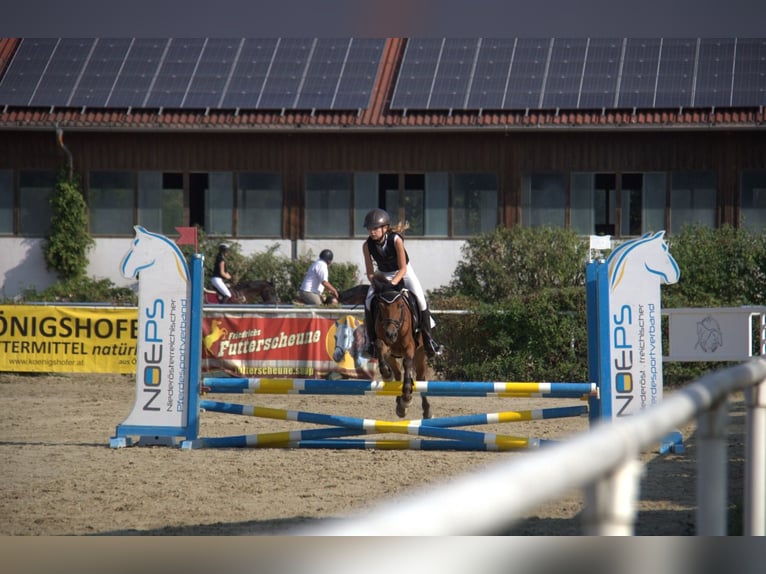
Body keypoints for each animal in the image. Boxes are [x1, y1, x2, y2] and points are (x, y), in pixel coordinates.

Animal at [372, 272, 432, 420]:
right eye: (380, 306)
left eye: (400, 305)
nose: (391, 334)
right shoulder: (386, 345)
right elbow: (379, 345)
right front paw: (386, 374)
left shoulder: (410, 347)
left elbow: (407, 364)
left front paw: (407, 396)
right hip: (393, 356)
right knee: (398, 373)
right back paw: (400, 406)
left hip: (420, 354)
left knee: (420, 378)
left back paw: (426, 410)